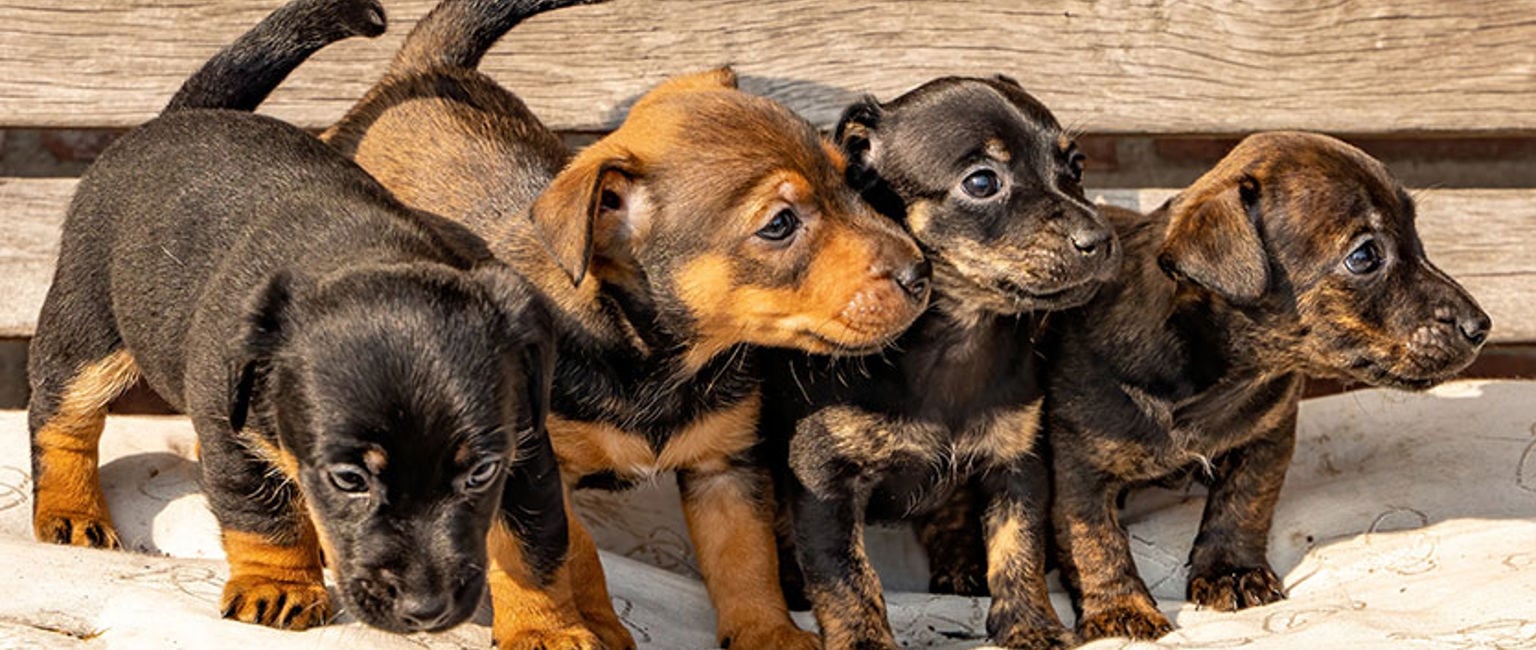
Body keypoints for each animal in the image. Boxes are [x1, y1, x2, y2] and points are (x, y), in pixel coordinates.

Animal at [31, 0, 565, 639]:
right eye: (349, 480)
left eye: (480, 474)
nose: (425, 610)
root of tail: (183, 114)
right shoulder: (235, 437)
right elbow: (264, 519)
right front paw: (279, 586)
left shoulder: (524, 449)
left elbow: (535, 549)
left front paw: (553, 629)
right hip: (87, 334)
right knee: (62, 420)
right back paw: (69, 510)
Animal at [319, 2, 927, 648]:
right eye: (780, 224)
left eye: (849, 180)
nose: (921, 273)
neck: (657, 360)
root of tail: (420, 69)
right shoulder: (525, 469)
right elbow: (560, 553)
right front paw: (558, 630)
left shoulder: (725, 468)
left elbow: (744, 558)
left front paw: (769, 634)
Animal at [764, 77, 1118, 650]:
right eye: (982, 182)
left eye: (1076, 166)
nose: (1102, 241)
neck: (955, 337)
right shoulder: (824, 482)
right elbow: (846, 577)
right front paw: (864, 642)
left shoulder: (1016, 464)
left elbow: (1018, 550)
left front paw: (1032, 626)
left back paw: (960, 568)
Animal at [1044, 131, 1486, 642]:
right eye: (1364, 257)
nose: (1481, 326)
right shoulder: (1077, 464)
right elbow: (1094, 540)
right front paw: (1120, 609)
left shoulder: (1268, 435)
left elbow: (1242, 504)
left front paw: (1230, 573)